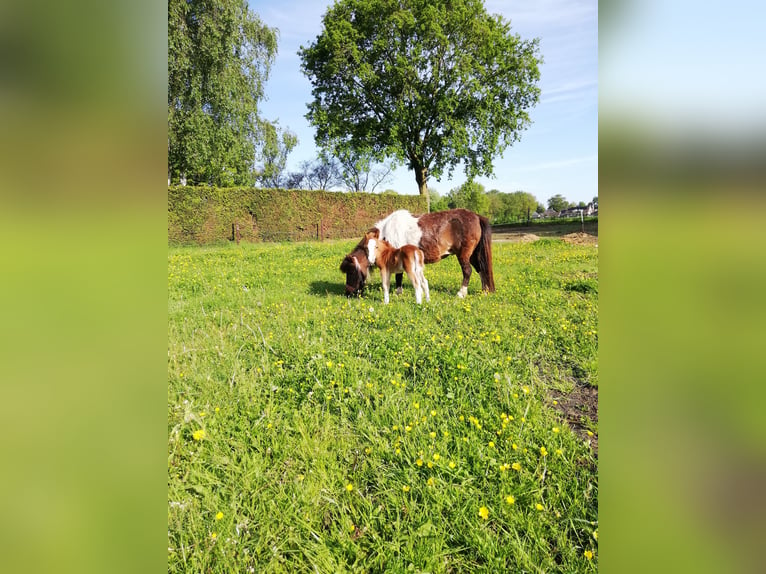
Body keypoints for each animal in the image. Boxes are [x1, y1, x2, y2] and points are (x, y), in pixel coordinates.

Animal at [342, 209, 498, 300]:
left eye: (351, 271)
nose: (348, 293)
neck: (387, 233)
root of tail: (476, 216)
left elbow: (398, 275)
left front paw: (398, 292)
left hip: (464, 255)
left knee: (468, 271)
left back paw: (461, 293)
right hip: (473, 254)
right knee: (481, 269)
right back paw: (484, 291)